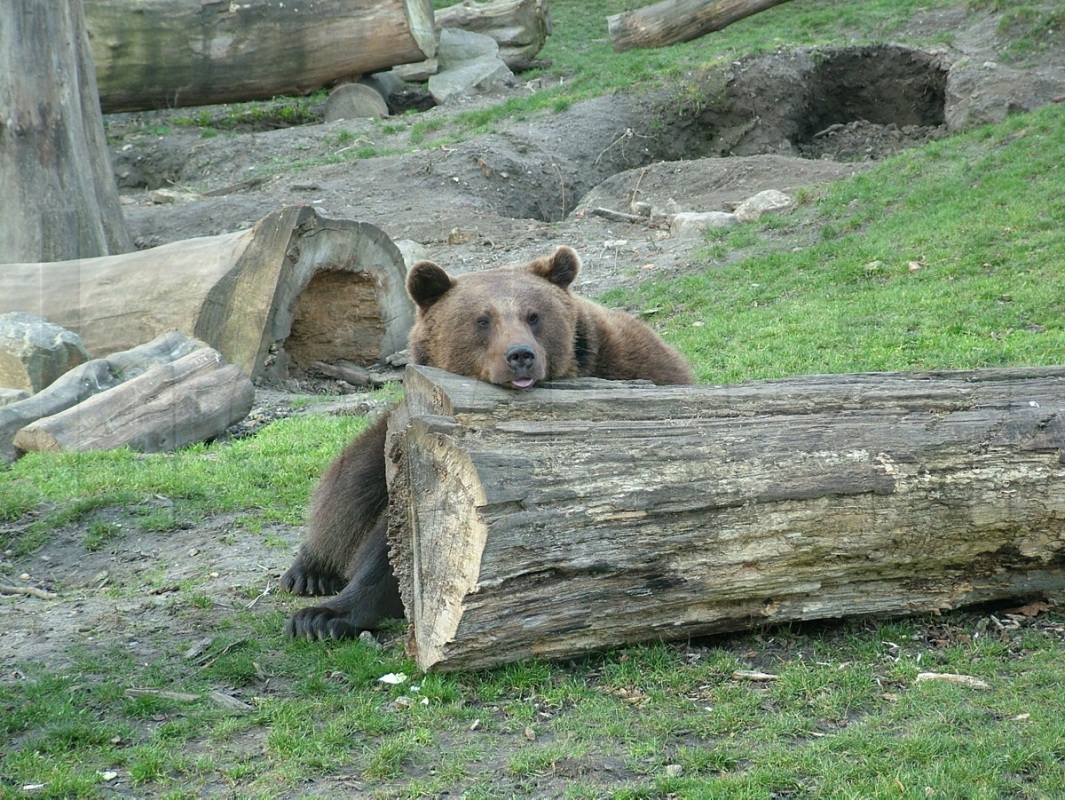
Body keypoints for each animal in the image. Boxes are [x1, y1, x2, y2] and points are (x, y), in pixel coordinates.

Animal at [283, 243, 694, 639]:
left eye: (534, 315)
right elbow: (394, 536)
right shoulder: (416, 450)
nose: (521, 356)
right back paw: (309, 572)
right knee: (348, 488)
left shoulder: (643, 373)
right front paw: (321, 617)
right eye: (482, 319)